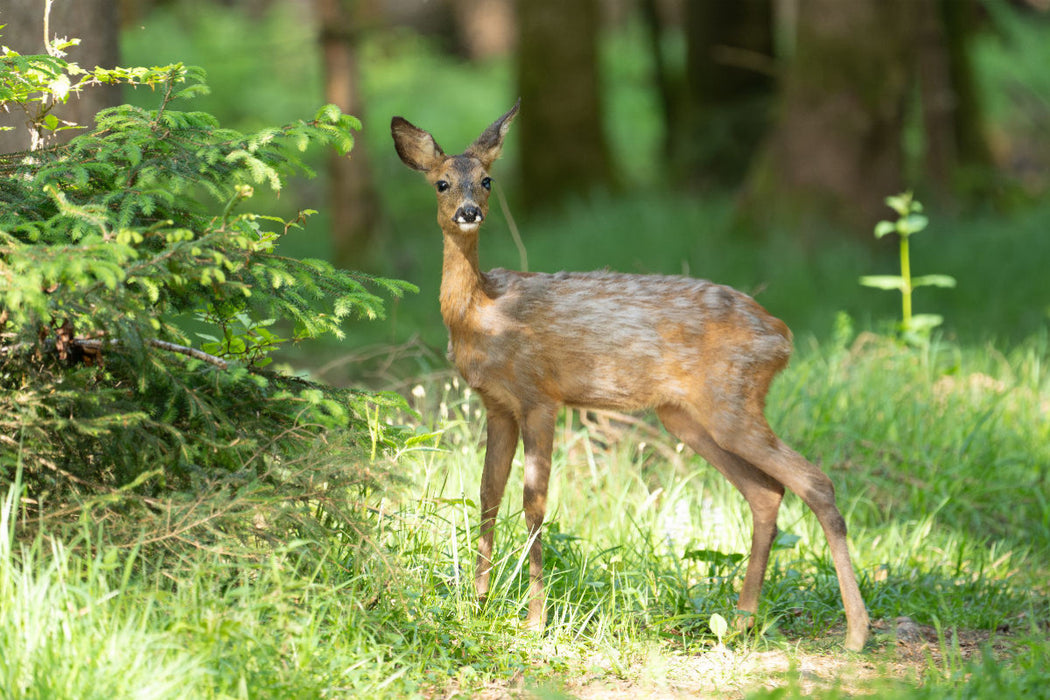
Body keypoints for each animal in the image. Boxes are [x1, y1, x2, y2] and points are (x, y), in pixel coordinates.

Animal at [392, 98, 869, 650]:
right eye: (441, 183)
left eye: (488, 180)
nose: (469, 212)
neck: (482, 314)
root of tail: (783, 337)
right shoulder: (496, 404)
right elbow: (488, 494)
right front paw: (478, 603)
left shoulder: (539, 396)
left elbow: (535, 502)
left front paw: (534, 620)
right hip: (685, 415)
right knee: (767, 492)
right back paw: (742, 621)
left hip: (732, 399)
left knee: (815, 482)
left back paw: (856, 632)